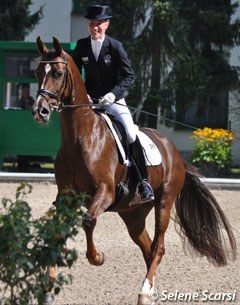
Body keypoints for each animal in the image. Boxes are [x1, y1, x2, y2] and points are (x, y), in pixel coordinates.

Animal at [32, 38, 237, 304]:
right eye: (37, 72)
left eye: (57, 73)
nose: (40, 111)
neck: (81, 136)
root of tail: (173, 151)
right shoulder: (66, 197)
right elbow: (55, 230)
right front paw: (48, 287)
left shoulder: (105, 191)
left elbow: (88, 220)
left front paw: (97, 257)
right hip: (133, 214)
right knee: (148, 248)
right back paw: (150, 291)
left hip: (164, 201)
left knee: (158, 246)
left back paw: (144, 291)